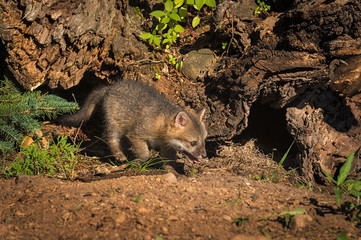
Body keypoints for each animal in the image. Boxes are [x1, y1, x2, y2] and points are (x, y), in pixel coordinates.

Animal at [60, 79, 207, 164]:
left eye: (204, 140)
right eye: (193, 143)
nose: (205, 155)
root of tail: (110, 88)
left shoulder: (165, 144)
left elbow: (168, 159)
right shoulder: (136, 135)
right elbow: (145, 154)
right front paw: (138, 161)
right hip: (115, 125)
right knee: (111, 139)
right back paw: (119, 155)